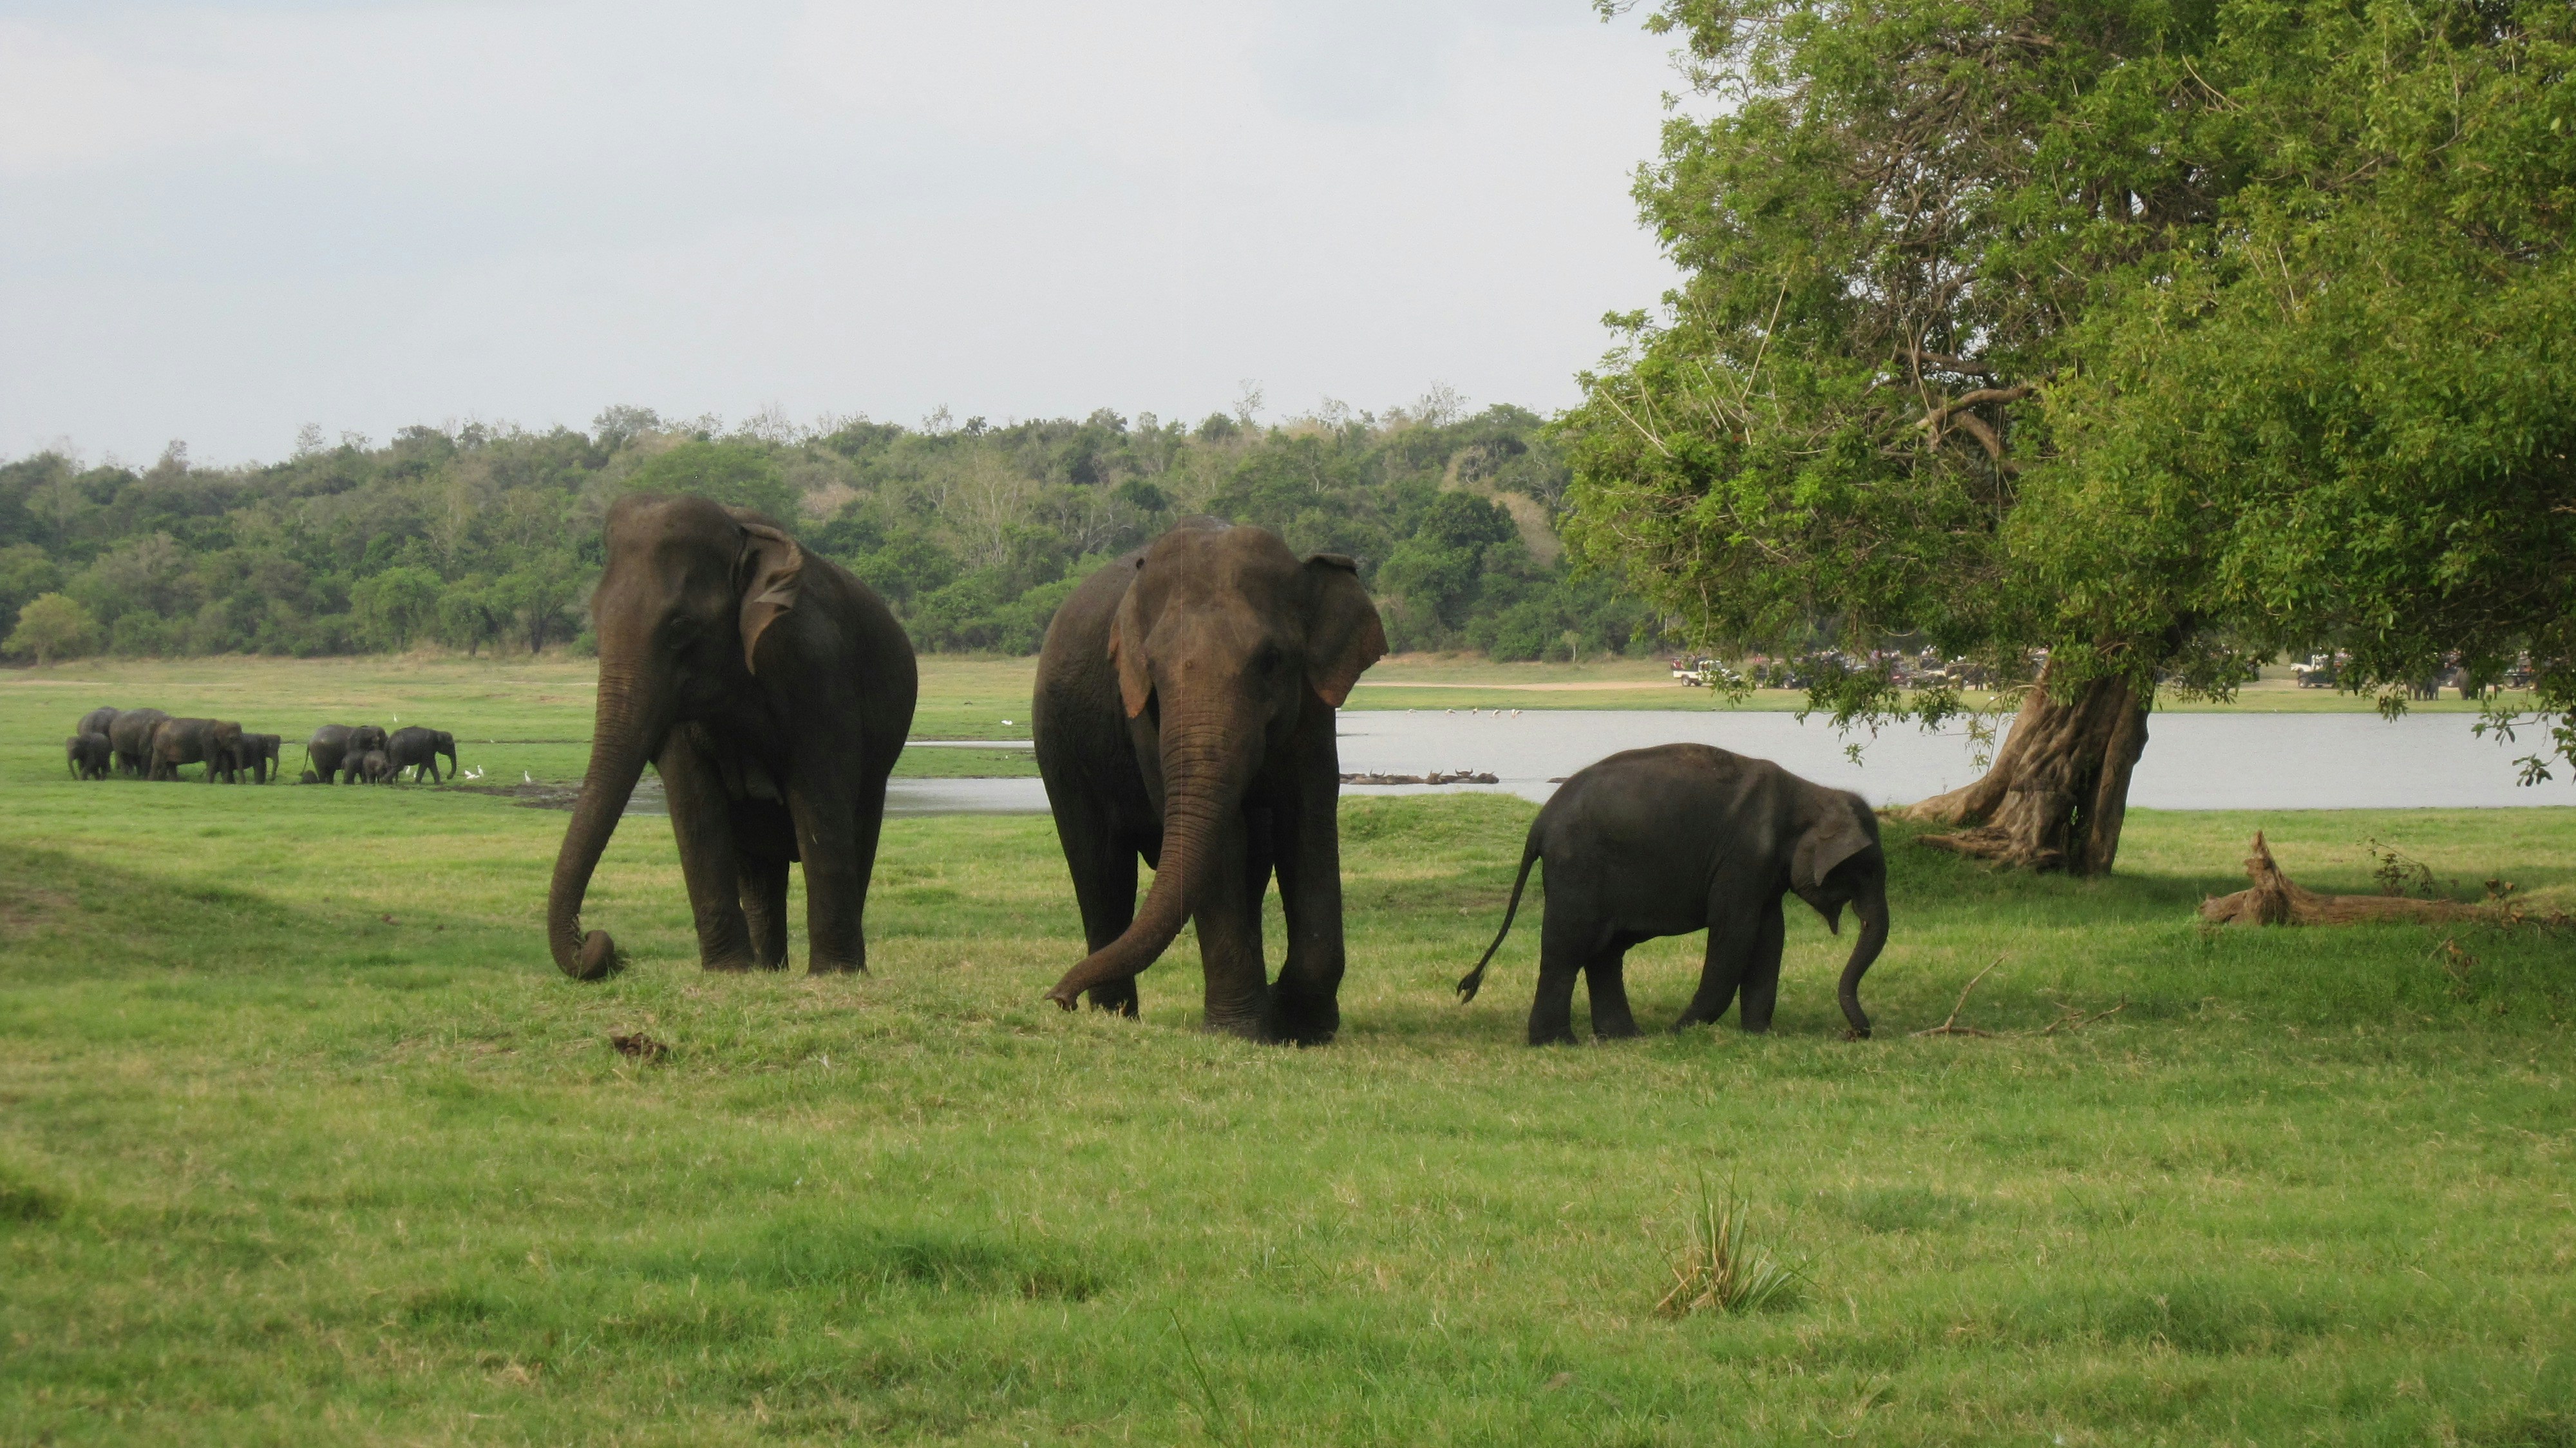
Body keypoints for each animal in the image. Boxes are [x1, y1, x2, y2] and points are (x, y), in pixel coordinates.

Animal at [149, 718, 246, 783]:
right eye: (232, 738)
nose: (242, 784)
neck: (220, 723)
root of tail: (157, 730)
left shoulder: (219, 746)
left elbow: (224, 762)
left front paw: (225, 784)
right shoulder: (208, 741)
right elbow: (213, 760)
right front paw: (209, 783)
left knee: (171, 764)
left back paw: (175, 782)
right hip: (161, 746)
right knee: (157, 762)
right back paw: (152, 781)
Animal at [306, 724, 389, 784]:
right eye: (385, 742)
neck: (369, 730)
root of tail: (310, 741)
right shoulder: (356, 745)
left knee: (331, 771)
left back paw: (330, 783)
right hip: (317, 754)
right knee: (322, 770)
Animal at [549, 492, 918, 980]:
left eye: (680, 628)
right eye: (595, 620)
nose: (602, 944)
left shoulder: (815, 667)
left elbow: (820, 798)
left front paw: (832, 976)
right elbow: (694, 803)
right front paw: (728, 973)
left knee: (858, 829)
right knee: (759, 869)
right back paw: (768, 970)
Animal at [1031, 517, 1386, 1042]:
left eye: (1271, 659)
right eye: (1152, 667)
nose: (1057, 999)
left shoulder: (1315, 706)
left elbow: (1308, 819)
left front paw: (1299, 1027)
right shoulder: (1143, 713)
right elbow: (1224, 843)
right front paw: (1241, 1033)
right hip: (1059, 747)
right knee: (1099, 865)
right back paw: (1116, 1016)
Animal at [1456, 743, 1891, 1044]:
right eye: (1868, 870)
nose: (1855, 1034)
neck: (1812, 792)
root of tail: (1540, 822)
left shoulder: (1763, 872)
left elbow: (1770, 936)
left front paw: (1758, 1035)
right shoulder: (1743, 858)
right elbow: (1734, 933)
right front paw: (1681, 1031)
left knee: (1605, 950)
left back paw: (1624, 1039)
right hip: (1577, 868)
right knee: (1568, 947)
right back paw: (1559, 1043)